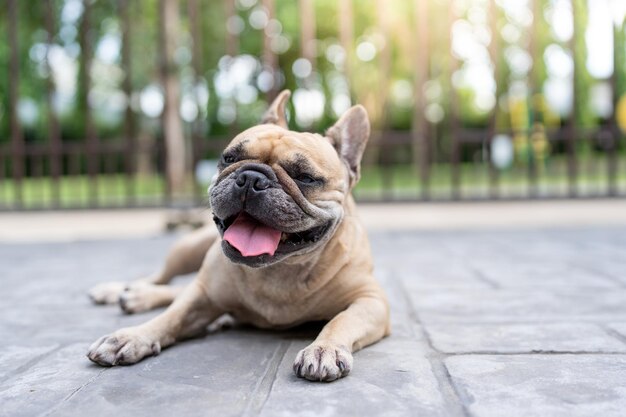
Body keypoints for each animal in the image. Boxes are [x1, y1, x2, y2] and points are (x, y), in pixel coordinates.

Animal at [86, 91, 390, 380]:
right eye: (229, 158)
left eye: (304, 177)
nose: (252, 178)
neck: (280, 270)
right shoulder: (202, 295)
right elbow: (171, 316)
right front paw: (131, 336)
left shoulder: (370, 301)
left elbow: (340, 321)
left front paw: (323, 349)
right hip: (188, 248)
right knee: (165, 279)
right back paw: (126, 291)